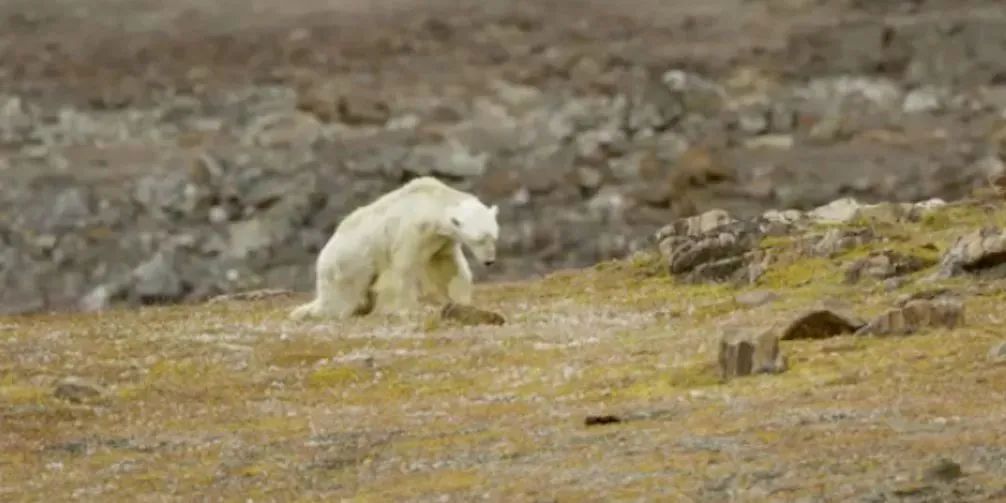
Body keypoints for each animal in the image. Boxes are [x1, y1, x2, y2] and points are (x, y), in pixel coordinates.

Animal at [287, 175, 498, 319]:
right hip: (349, 264)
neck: (429, 204)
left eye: (494, 237)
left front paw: (462, 303)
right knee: (342, 298)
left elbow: (448, 267)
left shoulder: (440, 241)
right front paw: (408, 309)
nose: (490, 261)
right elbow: (403, 269)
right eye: (479, 239)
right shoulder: (410, 232)